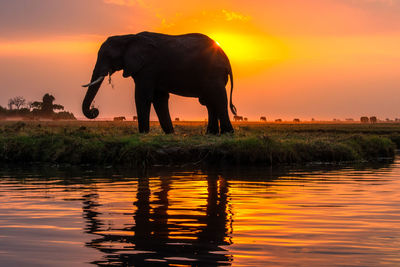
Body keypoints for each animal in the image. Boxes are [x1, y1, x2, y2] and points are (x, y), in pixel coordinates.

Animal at [82, 32, 236, 135]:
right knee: (209, 101)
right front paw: (170, 134)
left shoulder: (148, 68)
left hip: (214, 73)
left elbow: (143, 97)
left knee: (218, 97)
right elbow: (159, 98)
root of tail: (227, 59)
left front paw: (143, 134)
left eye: (108, 56)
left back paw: (227, 133)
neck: (128, 37)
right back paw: (211, 134)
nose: (95, 110)